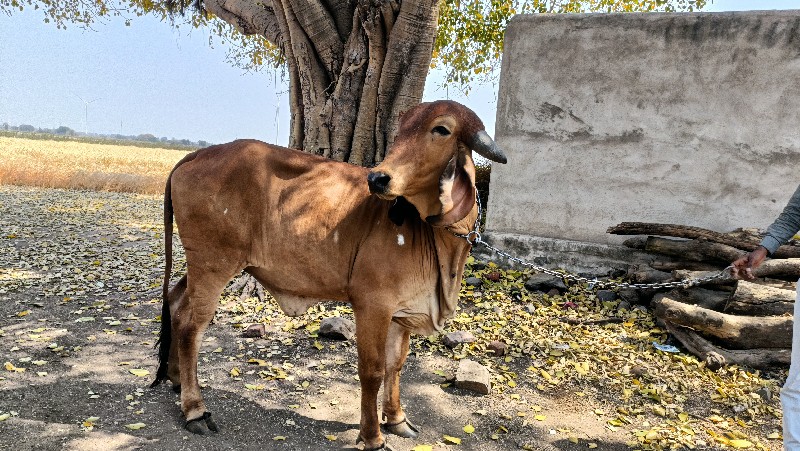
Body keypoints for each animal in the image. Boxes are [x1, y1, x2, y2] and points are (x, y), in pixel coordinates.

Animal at [153, 100, 506, 450]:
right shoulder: (372, 305)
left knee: (175, 303)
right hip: (213, 264)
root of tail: (196, 155)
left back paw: (175, 379)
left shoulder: (401, 312)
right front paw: (373, 436)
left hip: (200, 266)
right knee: (191, 327)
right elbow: (373, 370)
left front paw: (396, 419)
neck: (439, 241)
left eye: (441, 129)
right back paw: (195, 410)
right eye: (402, 129)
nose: (378, 178)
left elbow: (396, 365)